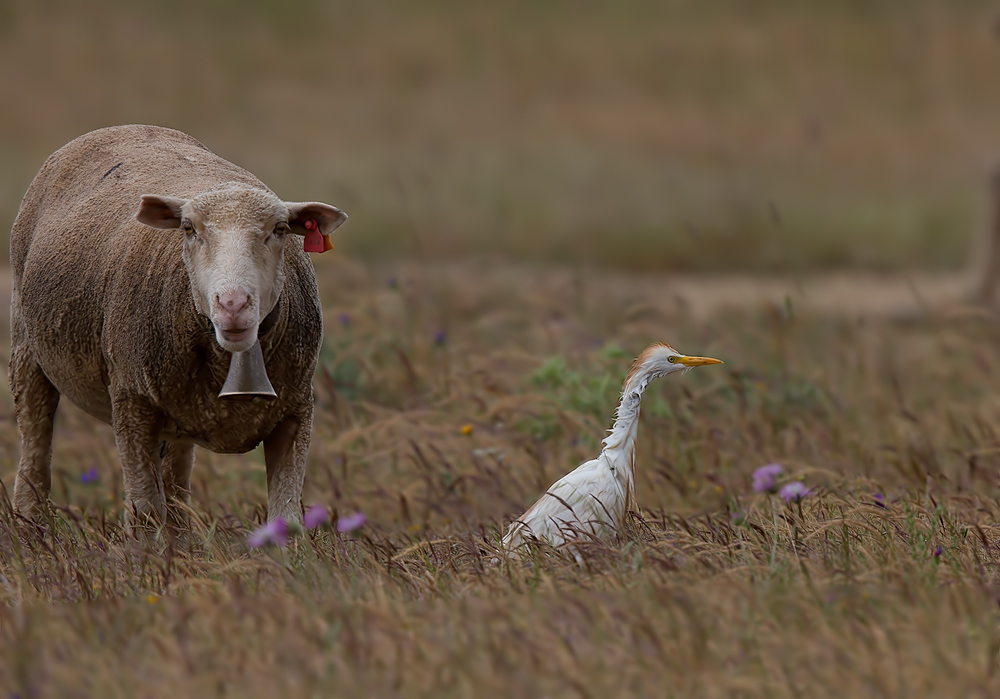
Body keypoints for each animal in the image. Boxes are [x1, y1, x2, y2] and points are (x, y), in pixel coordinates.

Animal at [9, 126, 348, 536]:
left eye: (280, 229)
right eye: (189, 229)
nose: (232, 303)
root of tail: (124, 127)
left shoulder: (296, 411)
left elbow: (286, 518)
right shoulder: (131, 402)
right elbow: (144, 513)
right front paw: (147, 554)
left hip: (182, 410)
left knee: (175, 479)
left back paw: (182, 540)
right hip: (25, 345)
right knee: (35, 439)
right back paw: (31, 526)